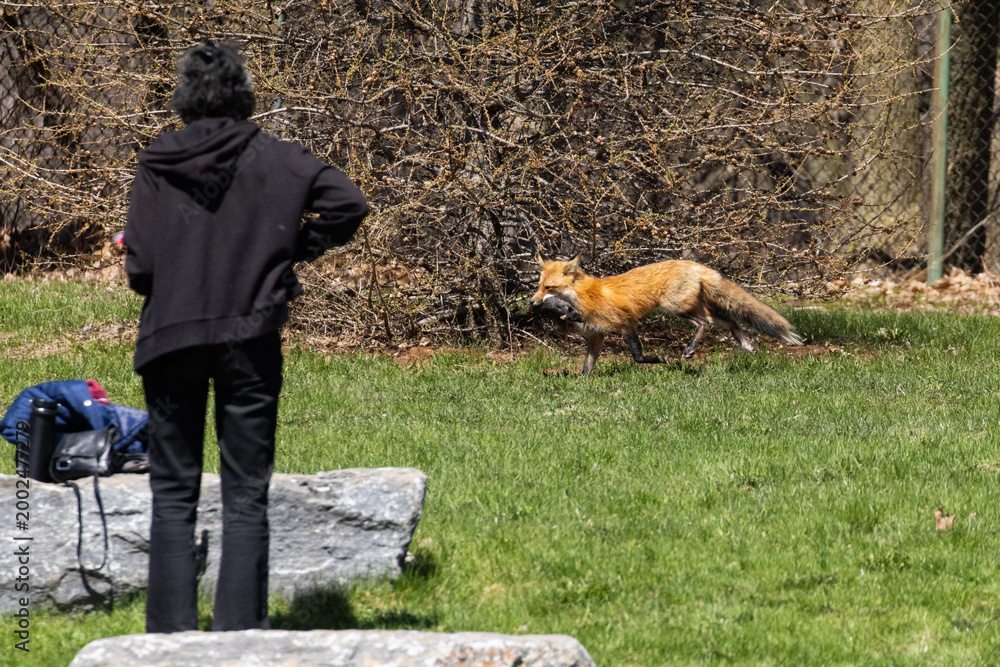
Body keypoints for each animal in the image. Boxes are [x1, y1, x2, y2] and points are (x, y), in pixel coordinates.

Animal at [530, 254, 803, 374]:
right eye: (539, 285)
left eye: (549, 288)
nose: (531, 302)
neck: (583, 298)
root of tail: (695, 264)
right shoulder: (596, 337)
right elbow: (587, 368)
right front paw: (583, 384)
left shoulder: (625, 322)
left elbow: (638, 356)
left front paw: (659, 360)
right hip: (691, 306)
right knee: (729, 321)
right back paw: (745, 344)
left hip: (675, 308)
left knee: (704, 322)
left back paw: (690, 349)